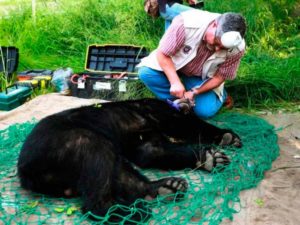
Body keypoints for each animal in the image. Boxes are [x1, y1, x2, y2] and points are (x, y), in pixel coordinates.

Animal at [17, 98, 241, 221]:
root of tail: (26, 173)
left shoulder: (145, 142)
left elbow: (154, 151)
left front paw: (210, 158)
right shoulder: (166, 115)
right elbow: (194, 125)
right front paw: (226, 137)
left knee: (122, 174)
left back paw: (166, 188)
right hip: (84, 141)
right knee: (96, 198)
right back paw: (132, 214)